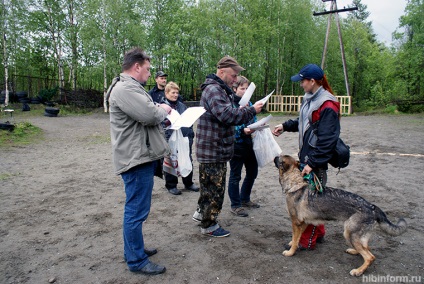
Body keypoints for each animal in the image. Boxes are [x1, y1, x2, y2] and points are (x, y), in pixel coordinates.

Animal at [278, 154, 408, 276]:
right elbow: (297, 237)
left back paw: (358, 271)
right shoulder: (304, 222)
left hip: (349, 233)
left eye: (278, 159)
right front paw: (292, 243)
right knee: (367, 248)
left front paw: (290, 252)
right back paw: (354, 252)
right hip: (355, 236)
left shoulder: (296, 222)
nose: (275, 156)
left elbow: (295, 238)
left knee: (370, 257)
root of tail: (372, 207)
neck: (295, 183)